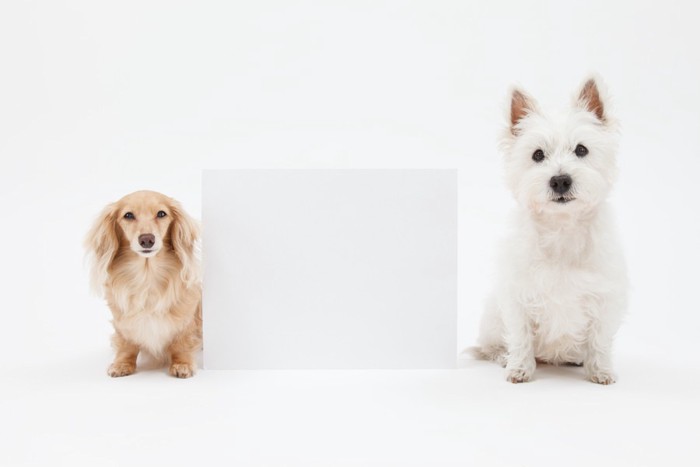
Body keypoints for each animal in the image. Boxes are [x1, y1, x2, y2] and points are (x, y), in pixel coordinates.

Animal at [84, 190, 202, 376]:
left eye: (161, 214)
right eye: (128, 215)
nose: (147, 240)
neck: (147, 276)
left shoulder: (187, 319)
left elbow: (181, 343)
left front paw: (182, 364)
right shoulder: (122, 323)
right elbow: (126, 345)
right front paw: (122, 364)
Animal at [476, 76, 628, 384]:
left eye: (581, 150)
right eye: (537, 155)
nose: (560, 181)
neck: (562, 227)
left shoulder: (605, 298)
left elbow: (599, 340)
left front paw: (601, 372)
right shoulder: (518, 297)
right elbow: (520, 336)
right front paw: (519, 369)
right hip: (492, 316)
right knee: (490, 345)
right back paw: (503, 356)